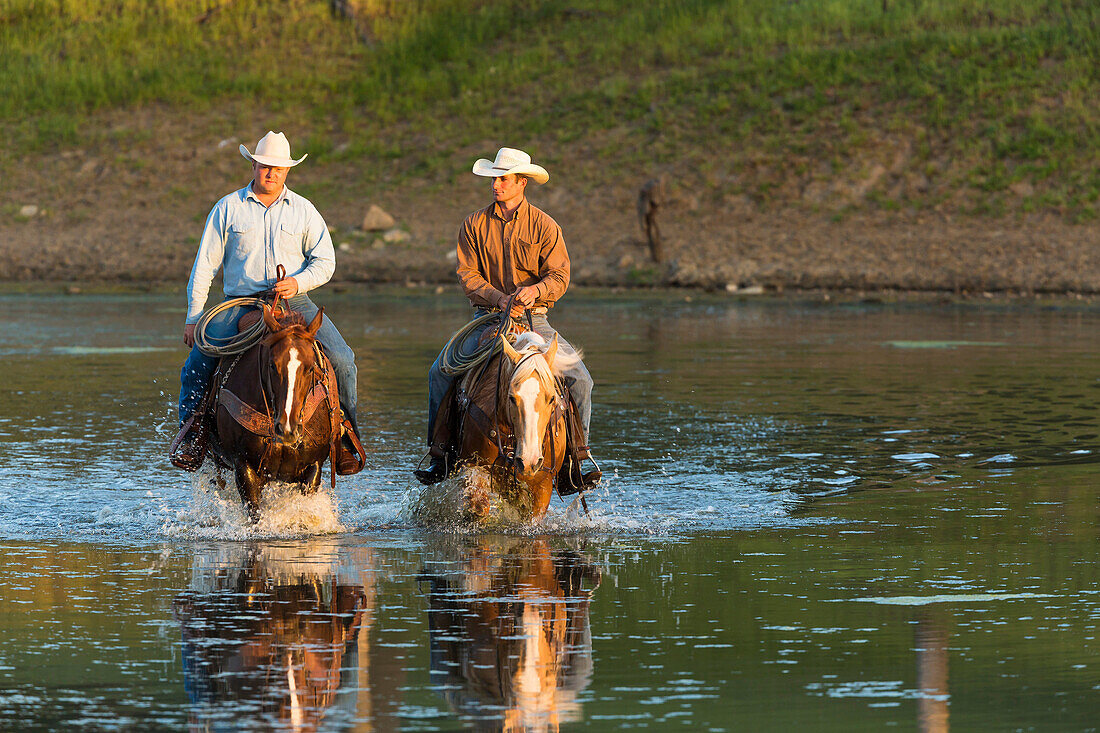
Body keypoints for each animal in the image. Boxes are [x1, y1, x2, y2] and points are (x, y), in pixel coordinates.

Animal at [453, 330, 580, 519]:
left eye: (552, 398)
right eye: (512, 398)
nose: (529, 460)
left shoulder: (543, 485)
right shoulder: (473, 467)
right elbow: (479, 508)